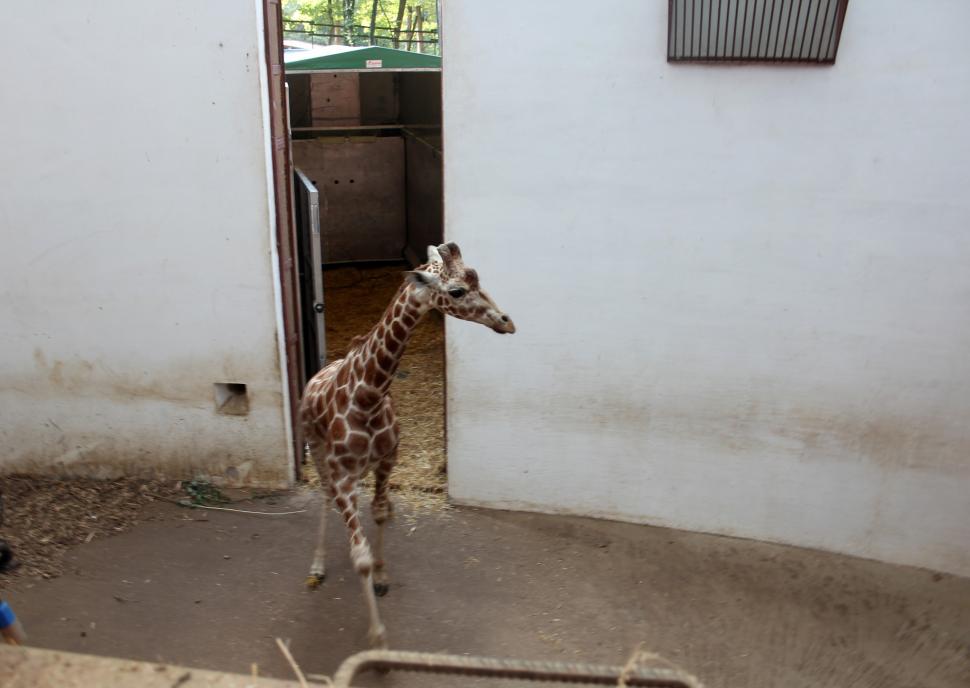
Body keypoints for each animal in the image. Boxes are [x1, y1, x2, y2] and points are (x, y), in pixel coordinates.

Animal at [300, 242, 515, 648]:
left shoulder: (388, 459)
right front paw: (378, 638)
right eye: (456, 291)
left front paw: (383, 577)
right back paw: (316, 566)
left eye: (477, 277)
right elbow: (359, 556)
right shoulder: (343, 476)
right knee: (323, 495)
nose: (506, 321)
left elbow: (380, 513)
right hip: (317, 450)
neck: (368, 396)